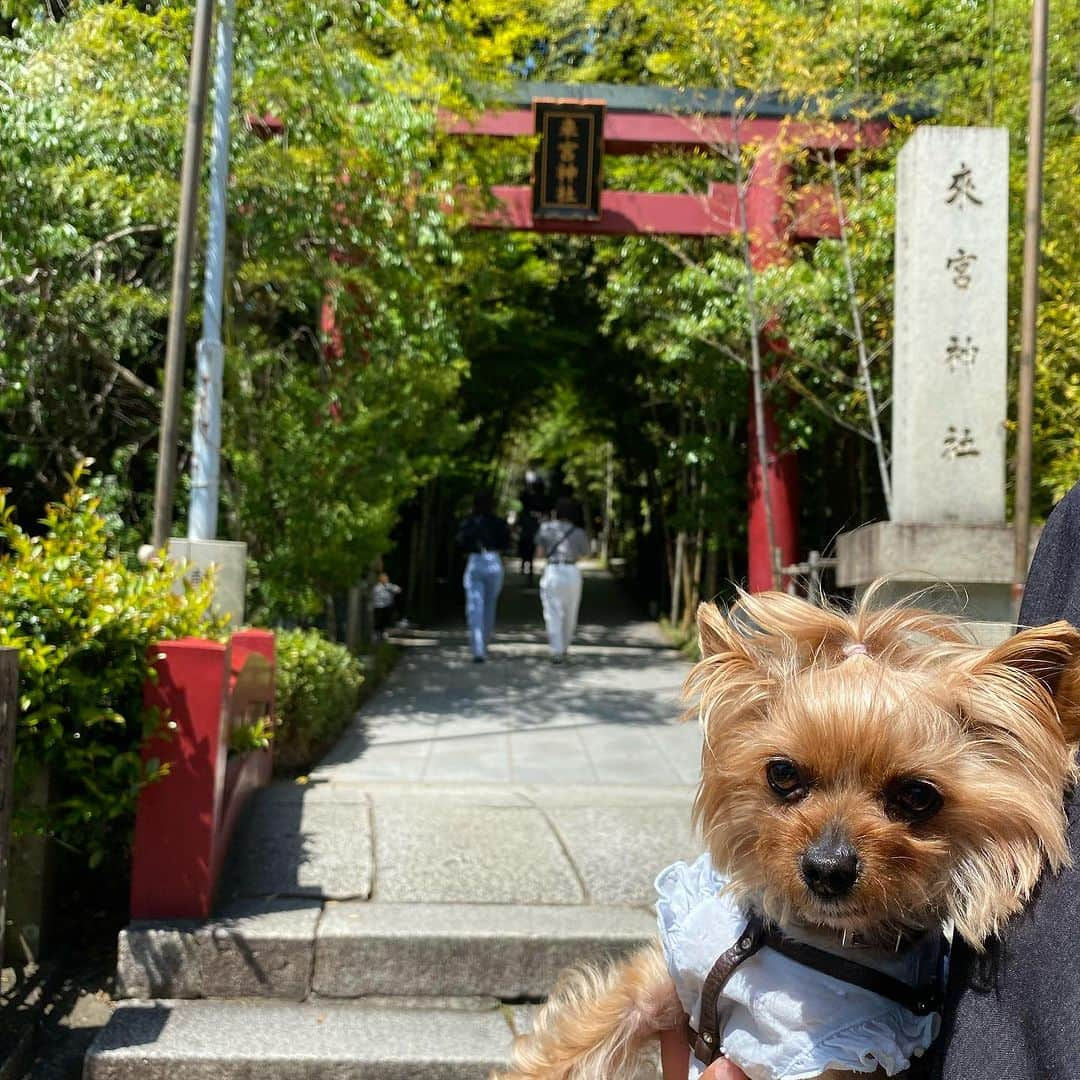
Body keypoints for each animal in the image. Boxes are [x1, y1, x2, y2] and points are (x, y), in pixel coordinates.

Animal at [496, 591, 1080, 1080]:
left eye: (918, 796)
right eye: (782, 773)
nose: (826, 869)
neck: (805, 938)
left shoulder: (838, 1055)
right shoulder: (663, 980)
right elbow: (576, 1041)